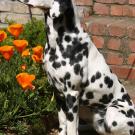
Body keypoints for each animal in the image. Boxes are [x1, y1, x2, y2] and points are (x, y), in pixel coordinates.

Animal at [18, 0, 135, 135]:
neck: (57, 45)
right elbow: (63, 123)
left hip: (112, 115)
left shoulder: (71, 94)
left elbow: (71, 128)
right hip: (93, 117)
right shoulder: (58, 93)